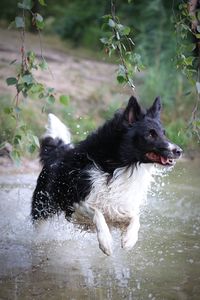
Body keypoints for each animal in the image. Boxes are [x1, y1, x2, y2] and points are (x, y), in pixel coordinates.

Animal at [31, 96, 183, 255]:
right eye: (150, 134)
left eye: (163, 133)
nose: (179, 151)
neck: (118, 165)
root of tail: (57, 151)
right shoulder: (76, 201)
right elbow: (97, 212)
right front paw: (106, 242)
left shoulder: (121, 204)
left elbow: (135, 217)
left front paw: (129, 239)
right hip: (43, 207)